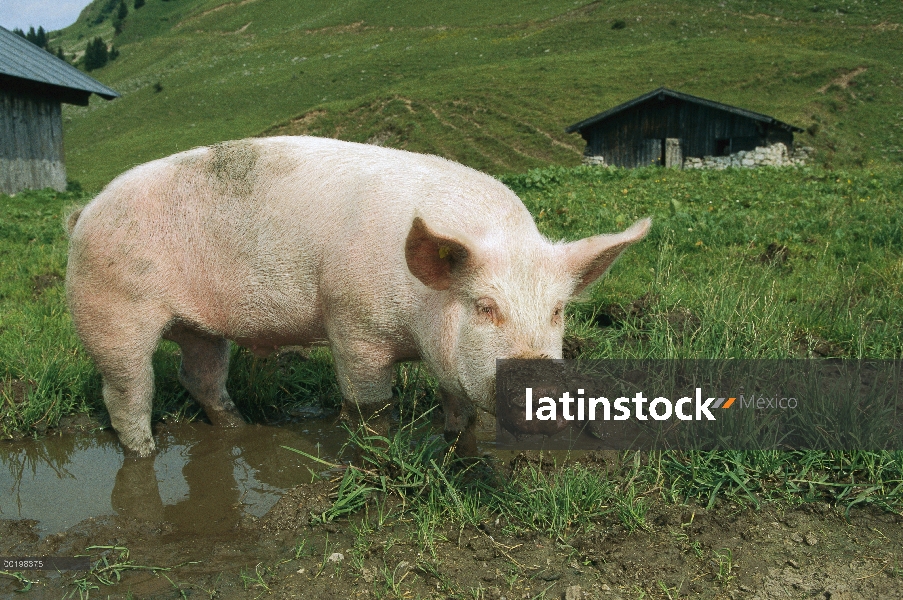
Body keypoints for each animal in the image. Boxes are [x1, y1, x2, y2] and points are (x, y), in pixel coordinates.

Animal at [69, 135, 648, 454]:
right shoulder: (352, 324)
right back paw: (145, 453)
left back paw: (239, 429)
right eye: (485, 307)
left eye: (557, 311)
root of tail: (84, 216)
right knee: (126, 391)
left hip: (200, 327)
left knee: (200, 376)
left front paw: (459, 447)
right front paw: (378, 456)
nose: (539, 392)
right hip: (111, 307)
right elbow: (370, 406)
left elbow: (459, 406)